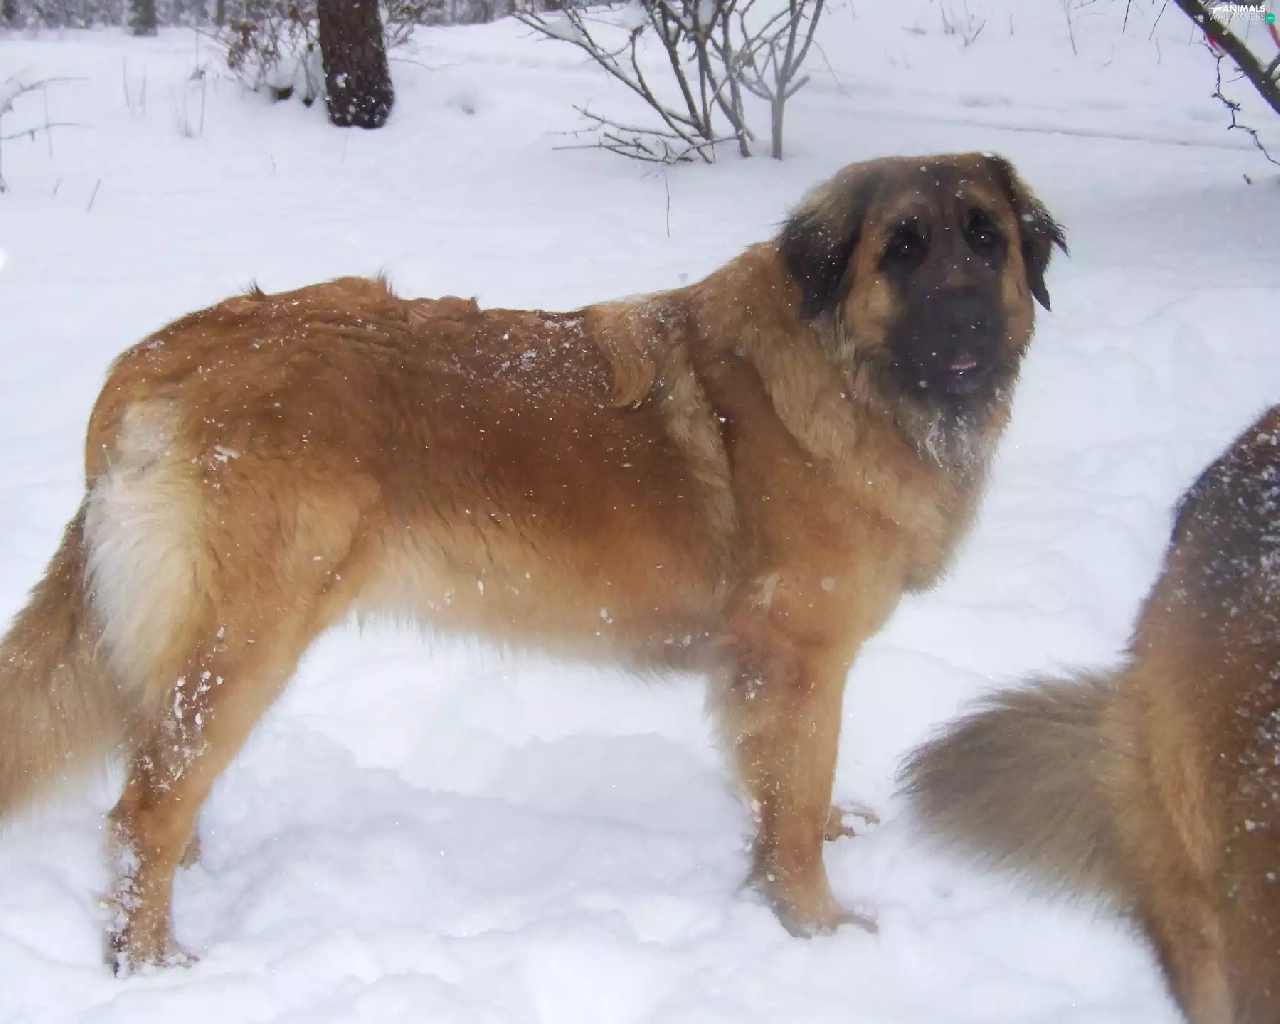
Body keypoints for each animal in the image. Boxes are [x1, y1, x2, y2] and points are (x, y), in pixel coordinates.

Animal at [0, 152, 1063, 972]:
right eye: (902, 249)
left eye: (987, 241)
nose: (968, 323)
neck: (850, 373)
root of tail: (159, 354)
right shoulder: (797, 658)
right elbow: (791, 805)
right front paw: (818, 925)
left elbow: (783, 789)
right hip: (246, 639)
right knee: (143, 810)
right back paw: (150, 961)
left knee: (156, 779)